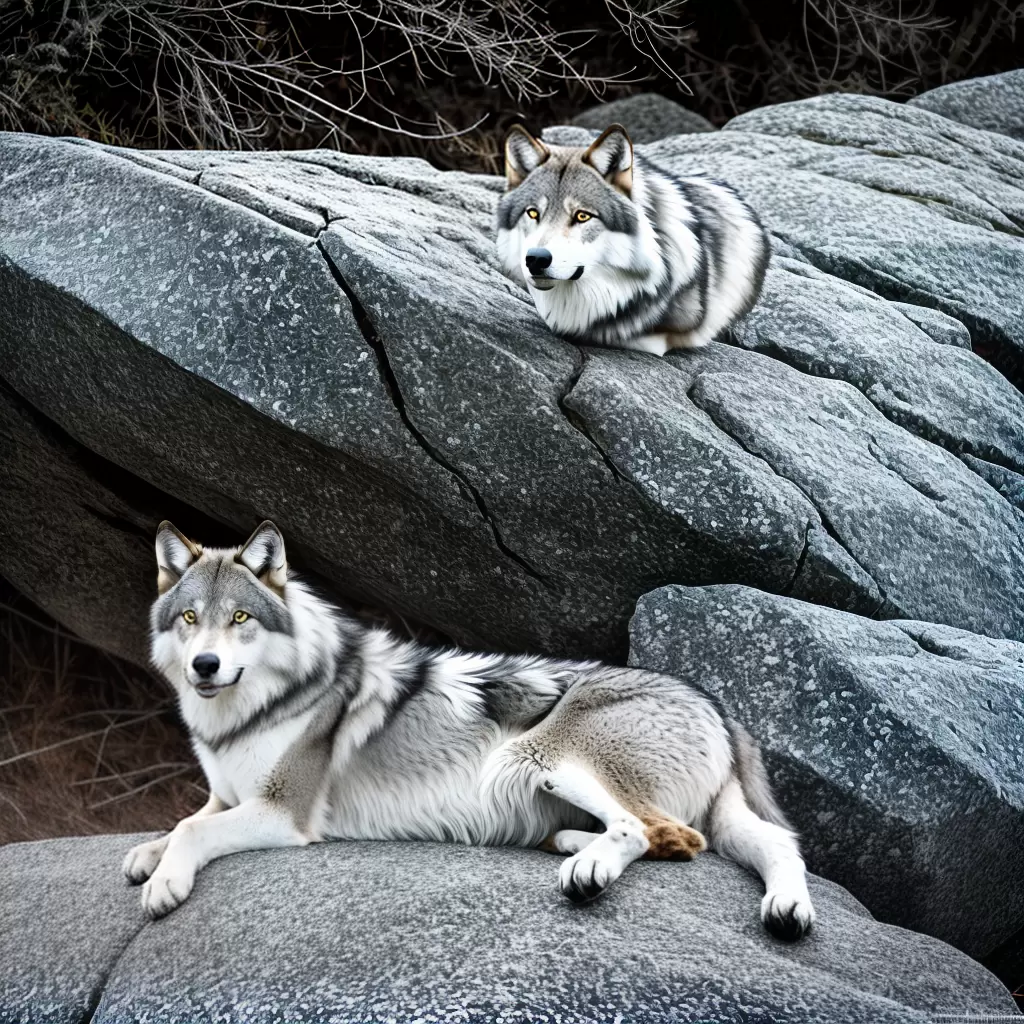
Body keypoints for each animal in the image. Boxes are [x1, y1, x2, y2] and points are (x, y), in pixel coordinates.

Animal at [124, 520, 814, 939]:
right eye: (190, 618)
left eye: (240, 618)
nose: (204, 666)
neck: (254, 709)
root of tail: (716, 702)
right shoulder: (228, 795)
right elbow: (182, 821)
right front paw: (145, 858)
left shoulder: (282, 813)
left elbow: (191, 829)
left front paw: (164, 884)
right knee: (763, 843)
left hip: (539, 757)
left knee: (650, 831)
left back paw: (585, 872)